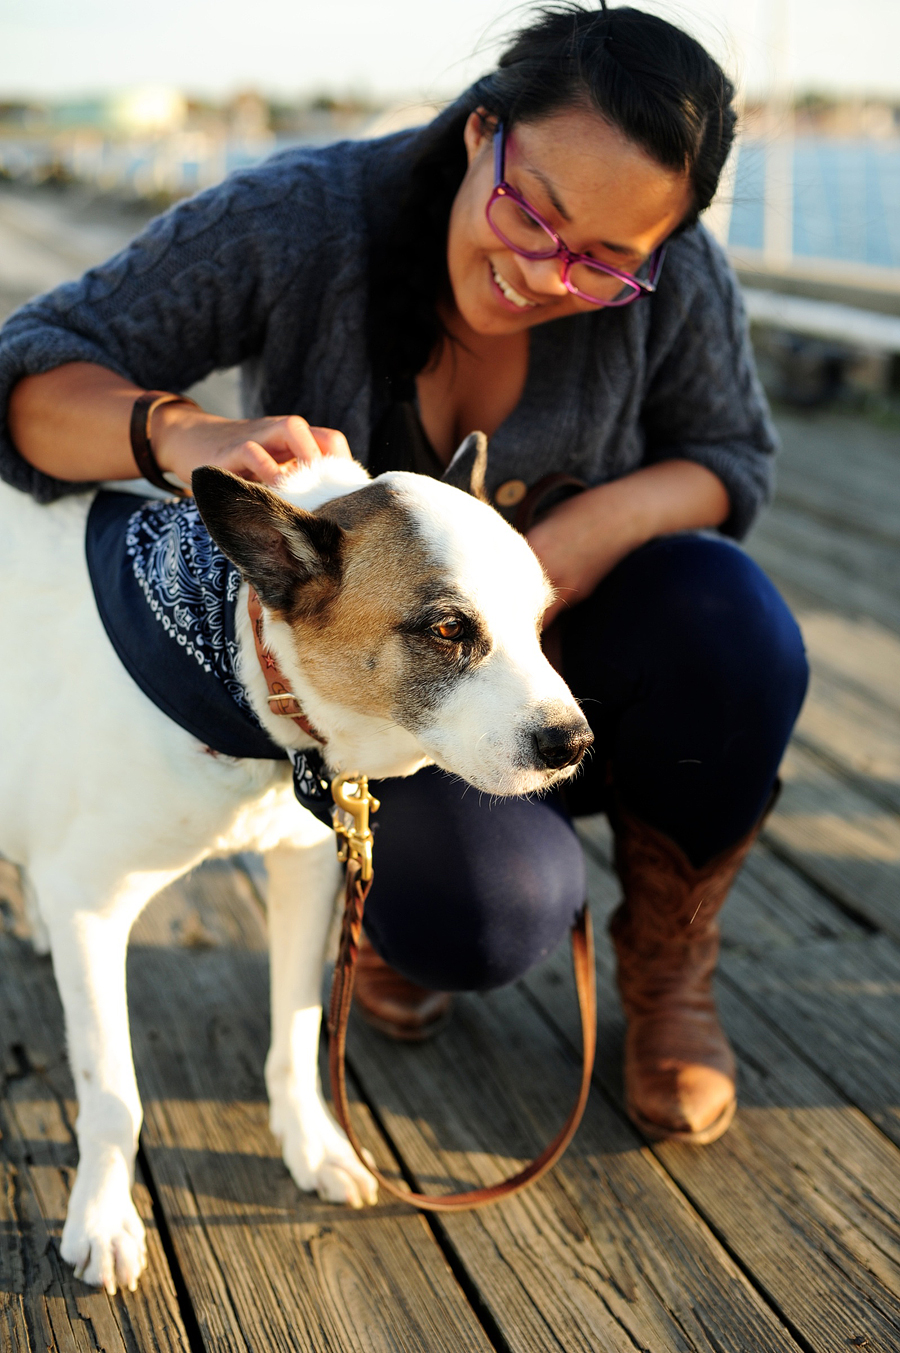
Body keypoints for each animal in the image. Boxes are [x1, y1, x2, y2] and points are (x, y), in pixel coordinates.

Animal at [0, 438, 590, 1293]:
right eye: (449, 627)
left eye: (542, 621)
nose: (573, 743)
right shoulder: (91, 903)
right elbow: (112, 1094)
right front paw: (104, 1214)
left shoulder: (307, 871)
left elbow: (298, 1030)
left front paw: (311, 1141)